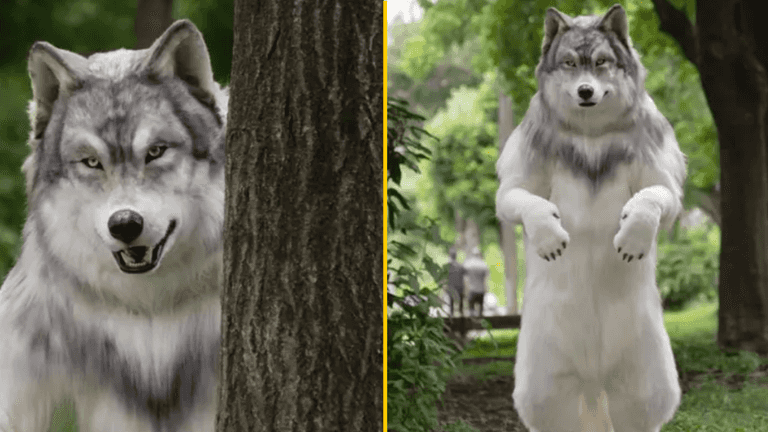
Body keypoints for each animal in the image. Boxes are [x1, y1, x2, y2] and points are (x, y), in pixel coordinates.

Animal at [495, 5, 685, 432]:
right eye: (569, 63)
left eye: (601, 63)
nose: (585, 92)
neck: (591, 135)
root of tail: (594, 381)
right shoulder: (513, 188)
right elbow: (525, 200)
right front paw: (548, 234)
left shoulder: (664, 185)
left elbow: (652, 198)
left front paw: (633, 235)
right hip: (545, 392)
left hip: (643, 388)